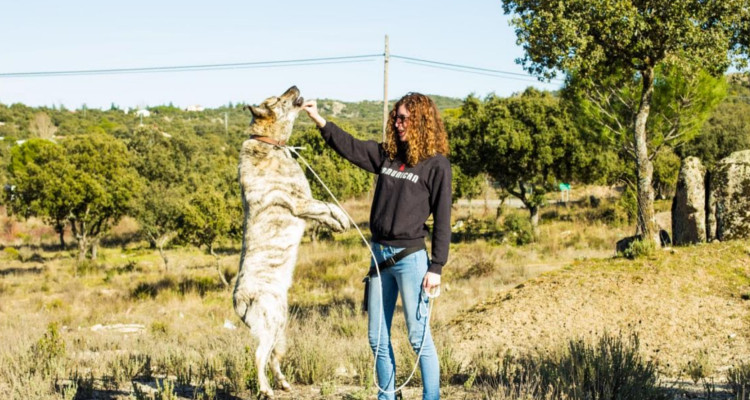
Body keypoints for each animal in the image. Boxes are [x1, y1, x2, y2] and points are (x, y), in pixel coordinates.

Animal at [234, 86, 352, 398]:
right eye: (278, 99)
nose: (294, 87)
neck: (272, 143)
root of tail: (239, 300)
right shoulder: (301, 202)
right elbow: (327, 206)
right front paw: (342, 220)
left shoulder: (304, 202)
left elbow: (325, 210)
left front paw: (336, 223)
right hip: (271, 322)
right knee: (258, 357)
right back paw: (266, 389)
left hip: (280, 325)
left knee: (273, 358)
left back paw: (284, 383)